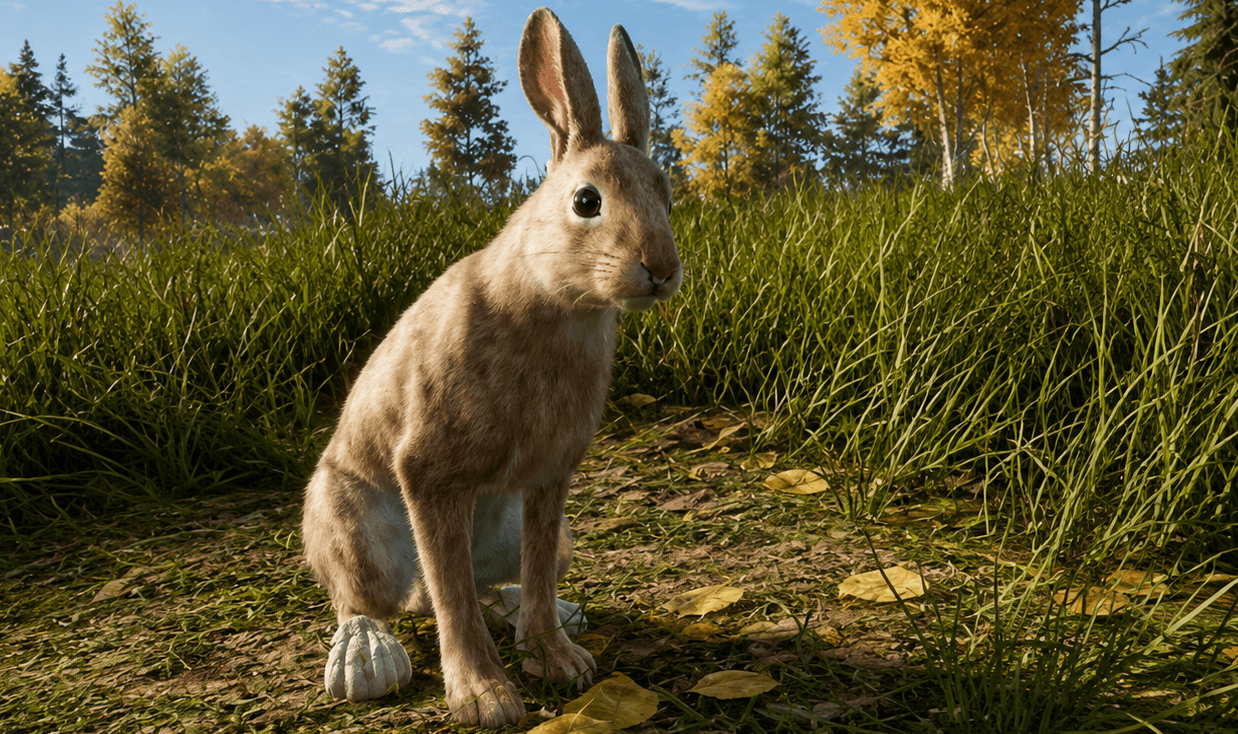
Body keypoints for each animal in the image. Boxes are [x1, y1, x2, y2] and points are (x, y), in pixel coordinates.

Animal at [300, 6, 681, 729]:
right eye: (586, 202)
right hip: (355, 527)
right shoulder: (430, 476)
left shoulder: (549, 480)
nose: (662, 269)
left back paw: (553, 615)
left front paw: (559, 661)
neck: (555, 299)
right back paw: (366, 661)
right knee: (372, 598)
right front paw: (486, 699)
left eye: (666, 193)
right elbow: (452, 599)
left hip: (527, 532)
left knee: (497, 581)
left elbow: (535, 572)